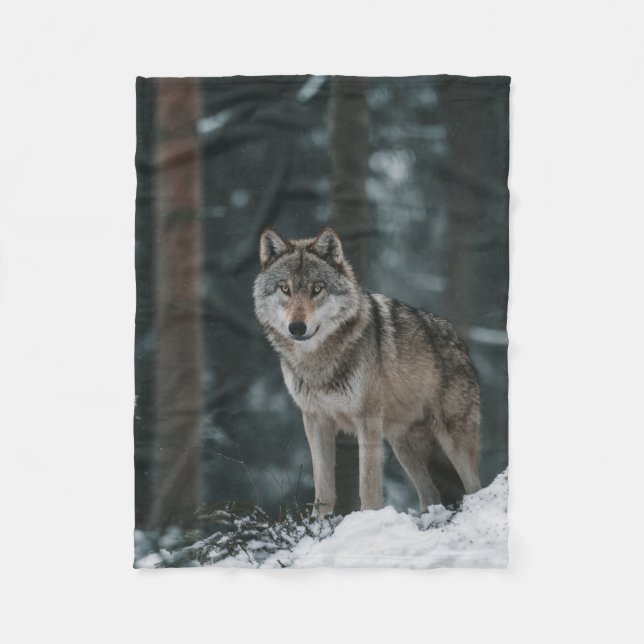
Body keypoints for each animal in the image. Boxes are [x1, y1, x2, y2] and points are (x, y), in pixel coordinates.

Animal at [253, 227, 481, 516]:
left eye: (317, 289)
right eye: (285, 288)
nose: (296, 327)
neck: (319, 362)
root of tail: (459, 341)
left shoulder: (367, 419)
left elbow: (368, 486)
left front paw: (368, 519)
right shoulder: (315, 420)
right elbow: (323, 488)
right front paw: (319, 525)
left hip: (453, 440)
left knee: (474, 487)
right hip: (402, 445)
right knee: (431, 494)